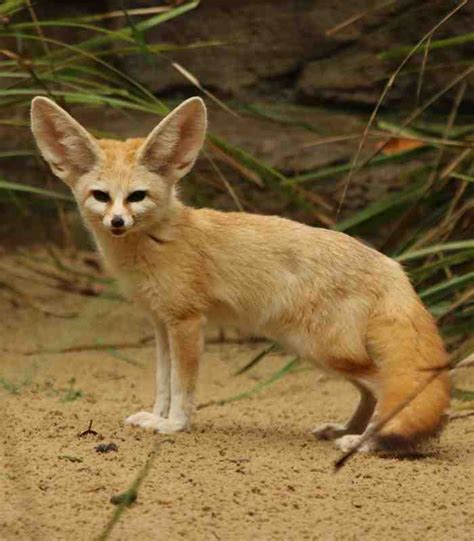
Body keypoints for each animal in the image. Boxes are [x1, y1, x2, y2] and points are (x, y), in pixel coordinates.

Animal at [31, 96, 450, 452]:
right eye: (101, 196)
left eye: (137, 197)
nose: (117, 222)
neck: (156, 242)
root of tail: (392, 265)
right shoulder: (161, 323)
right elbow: (164, 383)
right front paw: (155, 416)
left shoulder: (187, 322)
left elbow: (183, 388)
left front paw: (174, 425)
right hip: (319, 352)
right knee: (371, 392)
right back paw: (346, 430)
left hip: (324, 350)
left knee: (387, 389)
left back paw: (365, 442)